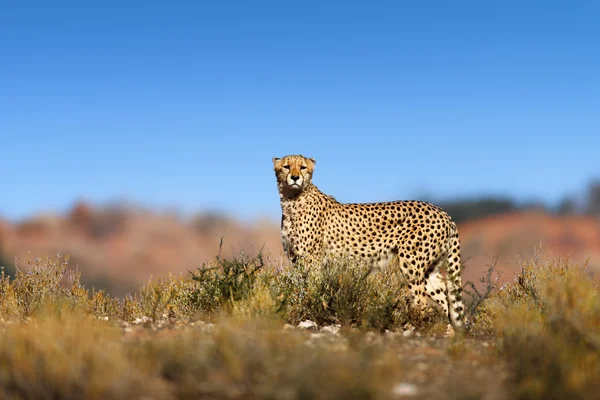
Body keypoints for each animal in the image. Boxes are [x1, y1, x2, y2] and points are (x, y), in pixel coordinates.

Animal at [274, 153, 466, 334]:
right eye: (286, 166)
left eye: (303, 167)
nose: (295, 178)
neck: (292, 199)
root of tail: (442, 212)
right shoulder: (295, 259)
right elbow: (301, 286)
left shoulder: (312, 260)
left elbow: (311, 288)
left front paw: (309, 309)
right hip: (429, 269)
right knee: (444, 297)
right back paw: (445, 329)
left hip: (411, 263)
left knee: (421, 300)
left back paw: (414, 326)